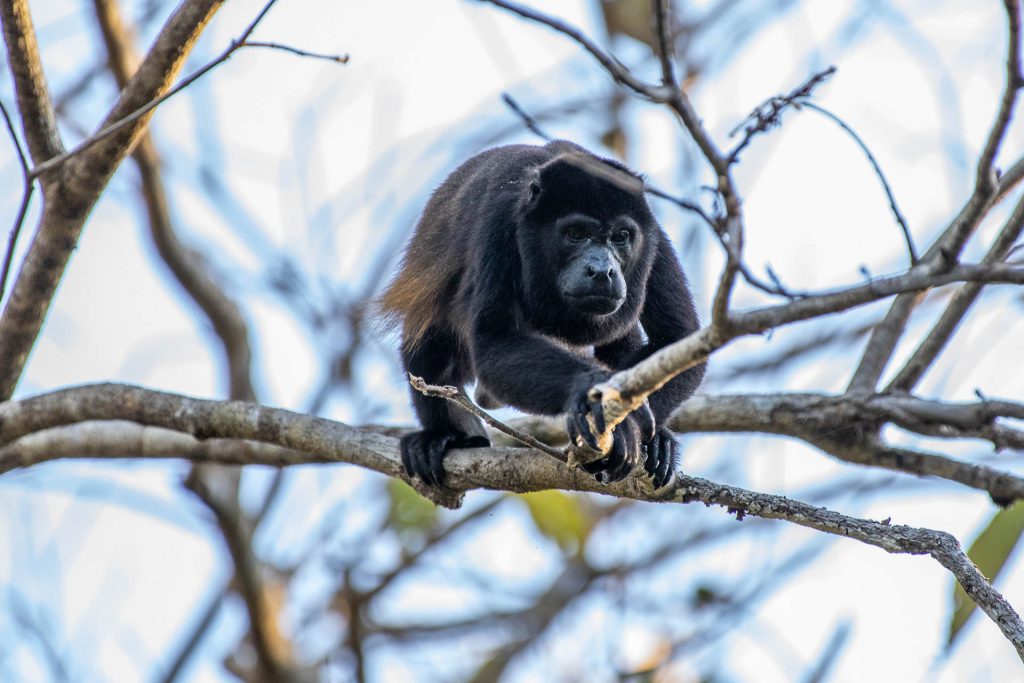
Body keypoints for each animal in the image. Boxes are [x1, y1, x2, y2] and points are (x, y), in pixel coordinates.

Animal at [380, 141, 708, 489]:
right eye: (575, 233)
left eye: (620, 236)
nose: (601, 271)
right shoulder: (499, 221)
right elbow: (496, 342)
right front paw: (593, 392)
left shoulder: (654, 236)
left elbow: (678, 335)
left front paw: (638, 432)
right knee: (428, 346)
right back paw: (443, 438)